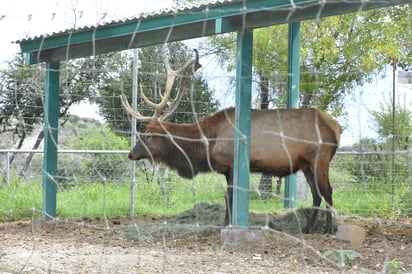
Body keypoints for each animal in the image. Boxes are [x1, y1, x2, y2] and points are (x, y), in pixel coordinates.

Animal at [121, 50, 342, 233]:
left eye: (148, 135)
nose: (131, 153)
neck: (208, 143)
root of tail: (337, 128)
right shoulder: (227, 170)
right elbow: (228, 197)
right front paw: (227, 223)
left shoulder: (233, 163)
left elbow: (230, 197)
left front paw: (227, 225)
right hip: (306, 165)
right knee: (317, 194)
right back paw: (307, 228)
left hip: (320, 159)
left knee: (328, 191)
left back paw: (328, 229)